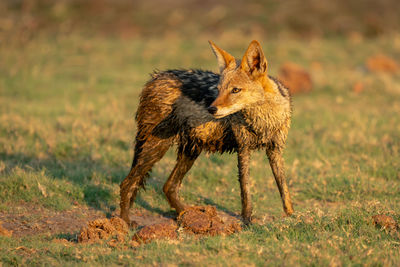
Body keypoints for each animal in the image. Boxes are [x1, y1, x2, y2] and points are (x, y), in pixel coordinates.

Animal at [119, 40, 294, 226]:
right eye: (218, 89)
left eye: (235, 90)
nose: (211, 109)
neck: (264, 121)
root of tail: (155, 78)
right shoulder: (243, 150)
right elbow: (246, 191)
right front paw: (247, 222)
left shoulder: (275, 150)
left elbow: (283, 188)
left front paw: (292, 217)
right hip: (157, 148)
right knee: (127, 183)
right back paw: (125, 222)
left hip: (190, 151)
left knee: (168, 187)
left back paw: (190, 216)